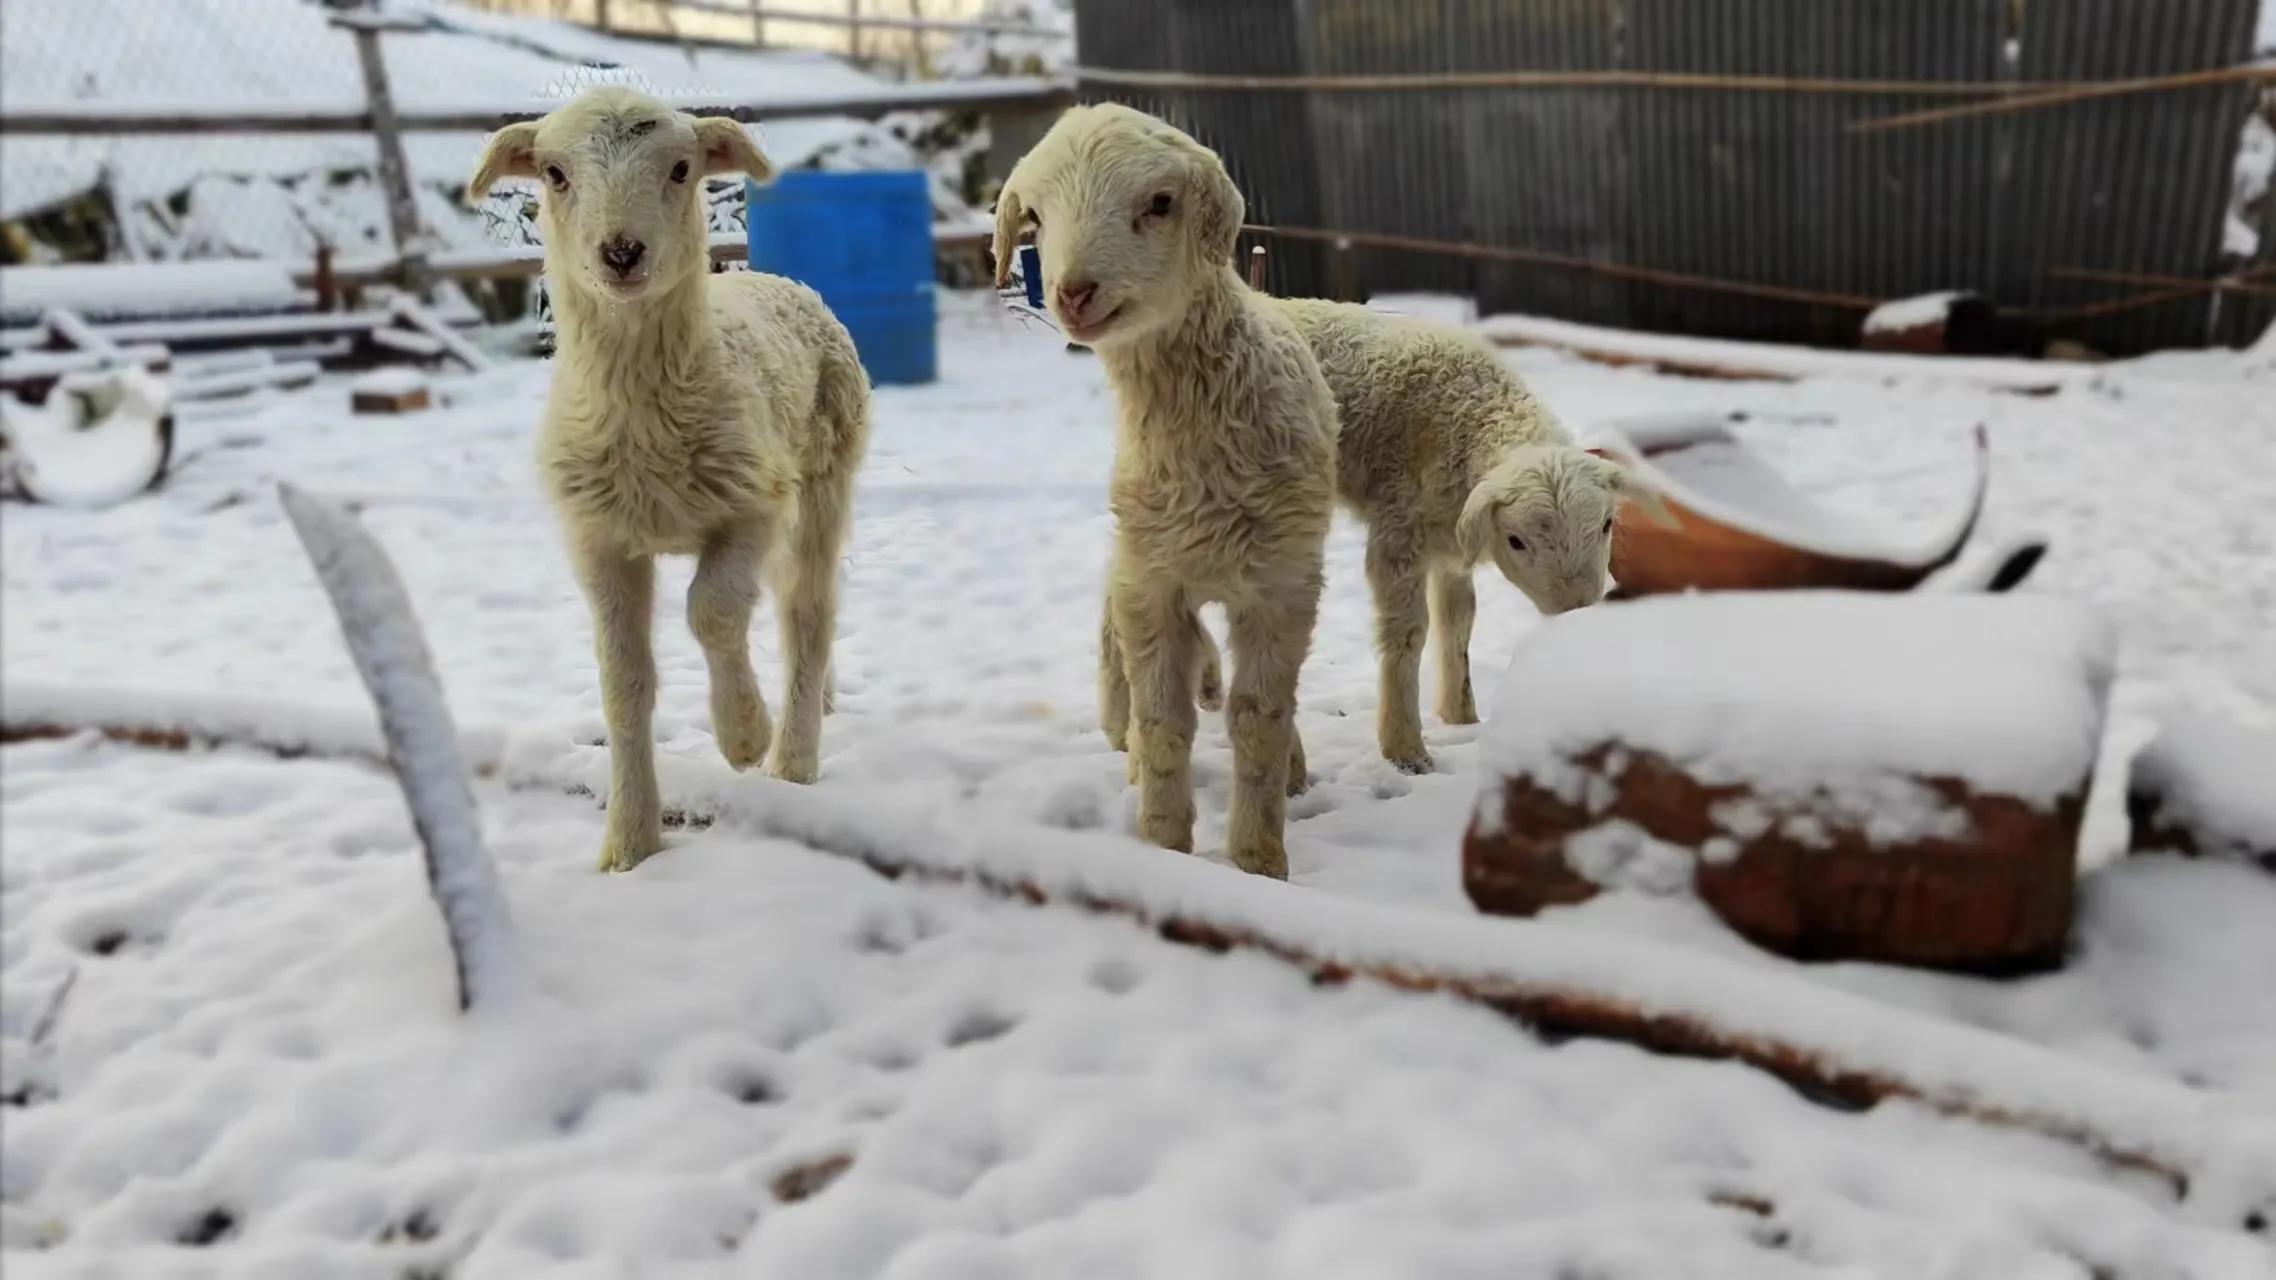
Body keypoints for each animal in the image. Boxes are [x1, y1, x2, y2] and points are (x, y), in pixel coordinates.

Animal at [466, 87, 864, 865]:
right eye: (554, 173)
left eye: (681, 168)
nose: (621, 252)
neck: (647, 425)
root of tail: (773, 277)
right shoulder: (599, 538)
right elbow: (623, 681)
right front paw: (629, 846)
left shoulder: (754, 501)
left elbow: (711, 611)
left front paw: (743, 733)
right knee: (789, 601)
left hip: (824, 473)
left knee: (807, 609)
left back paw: (793, 755)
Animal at [992, 107, 1338, 874]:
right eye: (1035, 216)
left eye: (1159, 203)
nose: (1073, 293)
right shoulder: (1150, 582)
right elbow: (1164, 721)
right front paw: (1164, 841)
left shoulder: (1280, 586)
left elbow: (1260, 718)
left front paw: (1258, 858)